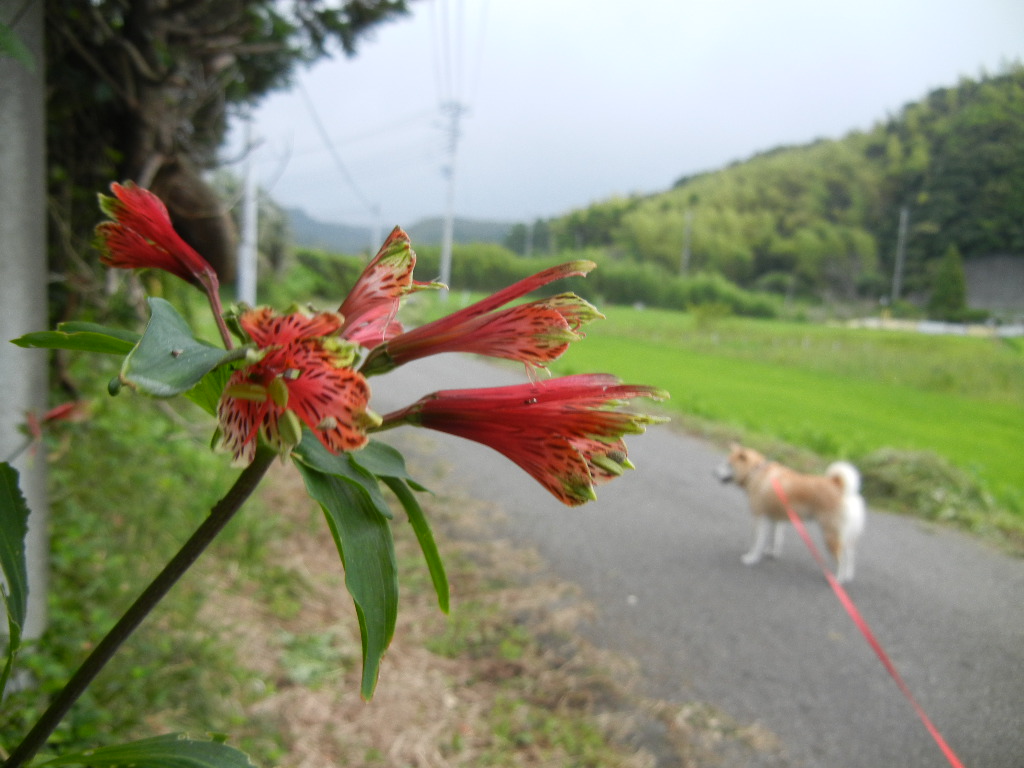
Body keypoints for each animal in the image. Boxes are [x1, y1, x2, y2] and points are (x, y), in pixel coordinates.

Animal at [720, 444, 864, 581]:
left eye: (729, 464)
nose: (715, 473)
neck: (755, 472)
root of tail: (840, 487)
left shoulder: (759, 518)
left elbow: (757, 543)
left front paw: (751, 558)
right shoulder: (775, 518)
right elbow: (776, 539)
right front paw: (772, 552)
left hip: (830, 535)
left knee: (841, 559)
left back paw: (838, 579)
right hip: (844, 537)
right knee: (850, 555)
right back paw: (848, 576)